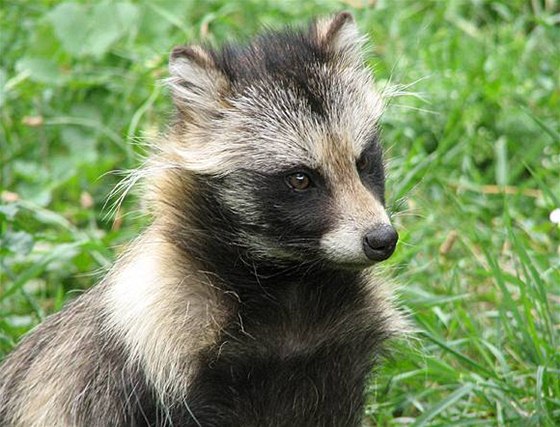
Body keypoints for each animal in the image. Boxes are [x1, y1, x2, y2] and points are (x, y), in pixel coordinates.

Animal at [0, 11, 404, 426]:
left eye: (363, 161)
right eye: (300, 178)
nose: (381, 239)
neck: (291, 280)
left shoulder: (340, 352)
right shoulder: (167, 346)